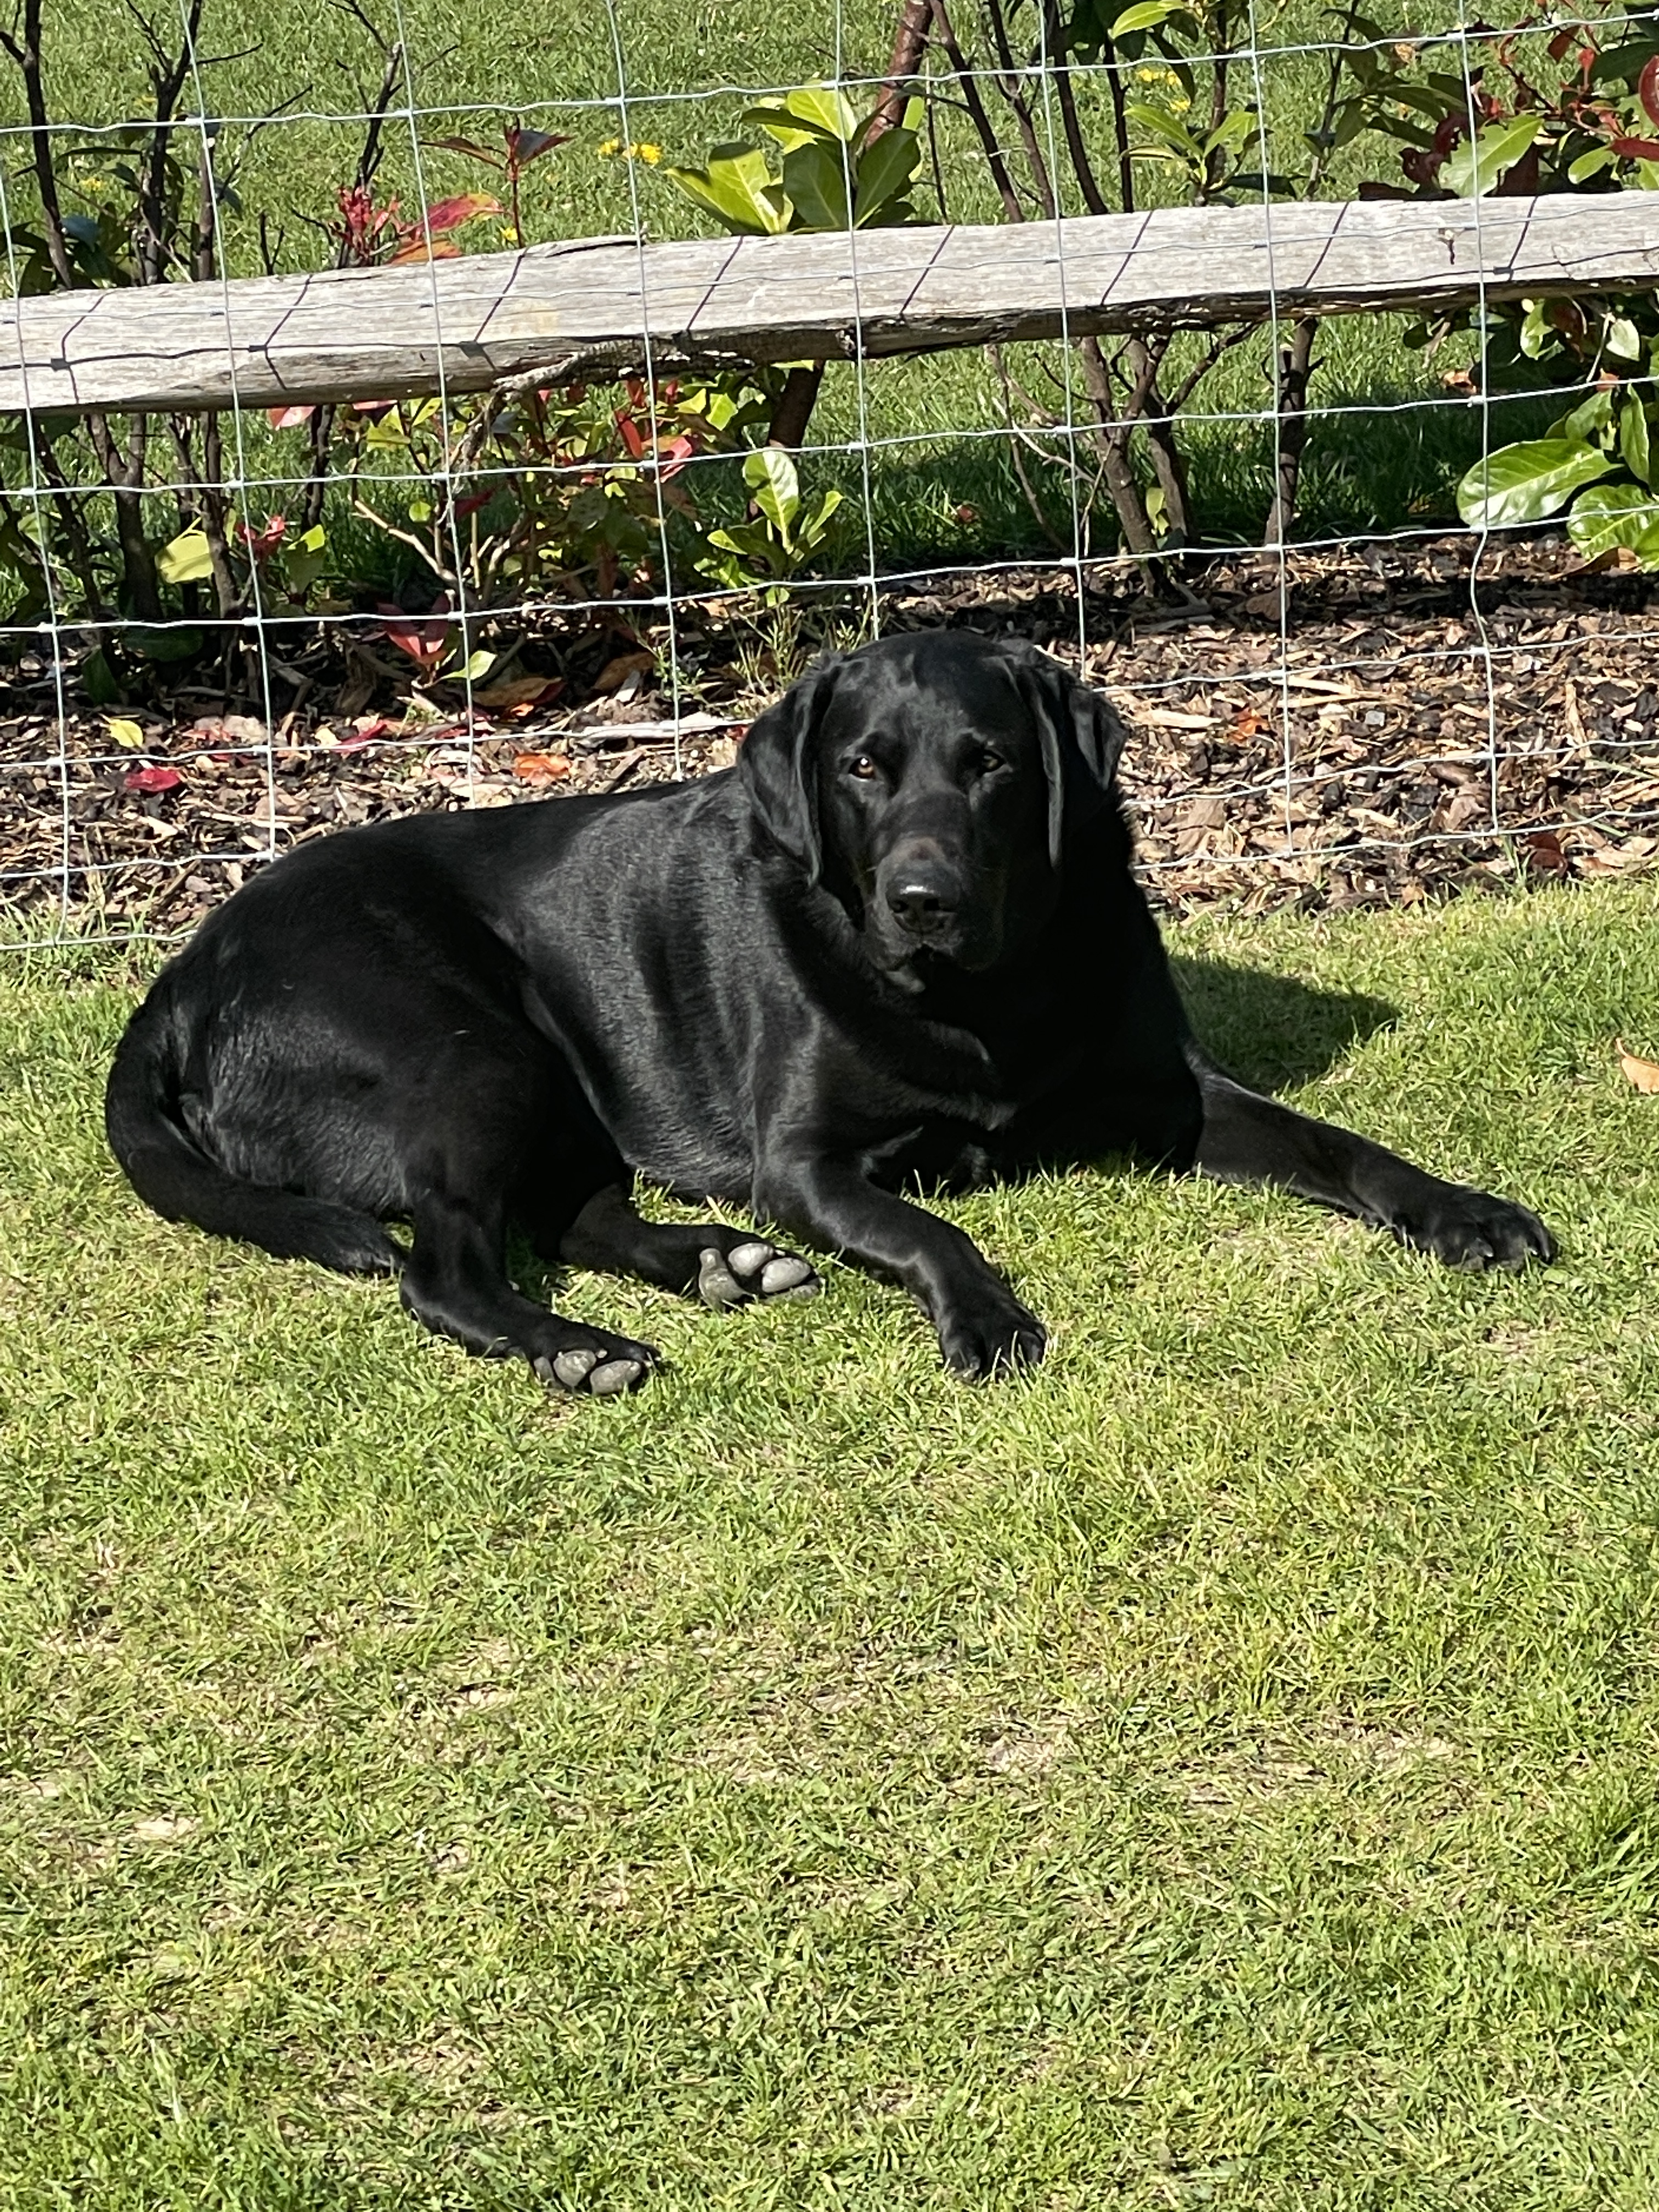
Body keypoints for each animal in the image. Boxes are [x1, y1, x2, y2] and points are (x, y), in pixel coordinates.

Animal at [106, 630, 1554, 1394]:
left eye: (991, 765)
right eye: (863, 768)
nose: (923, 896)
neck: (982, 994)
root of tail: (180, 976)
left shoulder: (1176, 1096)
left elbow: (1343, 1146)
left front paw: (1467, 1214)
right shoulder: (805, 1162)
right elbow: (926, 1228)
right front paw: (984, 1316)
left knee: (566, 1212)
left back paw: (715, 1263)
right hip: (475, 1053)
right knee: (446, 1265)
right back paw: (581, 1348)